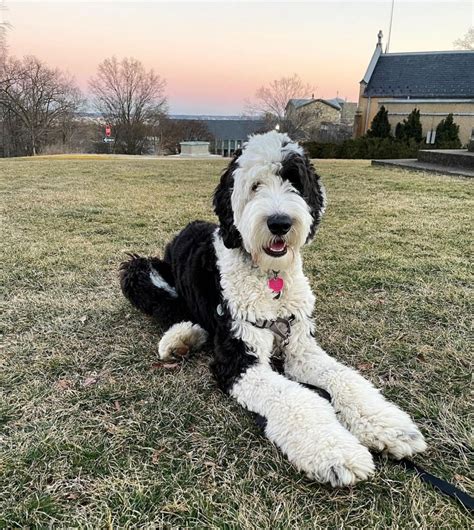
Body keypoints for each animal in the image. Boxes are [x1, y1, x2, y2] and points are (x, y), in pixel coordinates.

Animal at [119, 131, 426, 482]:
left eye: (294, 182)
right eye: (255, 186)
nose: (280, 223)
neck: (270, 278)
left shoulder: (300, 346)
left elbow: (343, 377)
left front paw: (389, 426)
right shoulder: (239, 359)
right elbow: (296, 396)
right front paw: (335, 452)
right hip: (140, 270)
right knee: (168, 307)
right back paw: (181, 337)